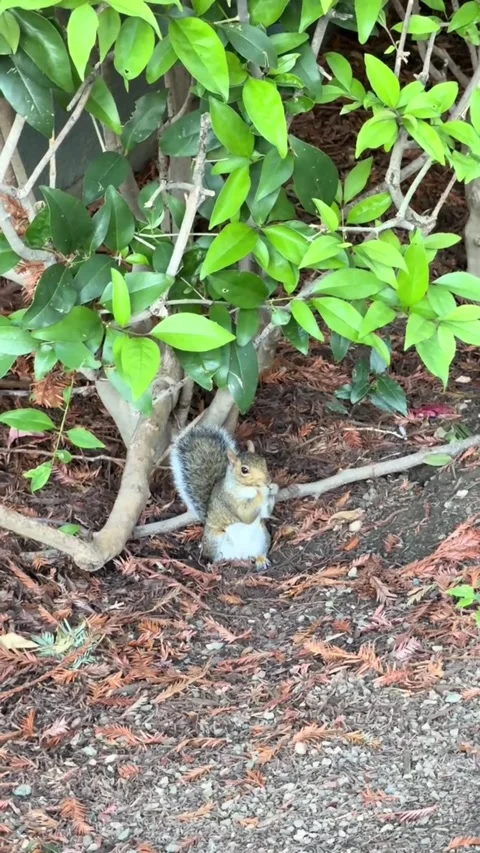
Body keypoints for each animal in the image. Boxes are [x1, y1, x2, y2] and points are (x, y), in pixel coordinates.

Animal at [170, 425, 278, 571]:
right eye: (244, 470)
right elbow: (245, 515)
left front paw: (273, 488)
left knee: (259, 552)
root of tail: (240, 555)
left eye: (263, 461)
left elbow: (266, 512)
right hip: (215, 539)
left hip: (262, 537)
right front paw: (263, 491)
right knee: (215, 557)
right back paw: (215, 565)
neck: (248, 489)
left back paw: (260, 559)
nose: (267, 480)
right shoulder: (229, 500)